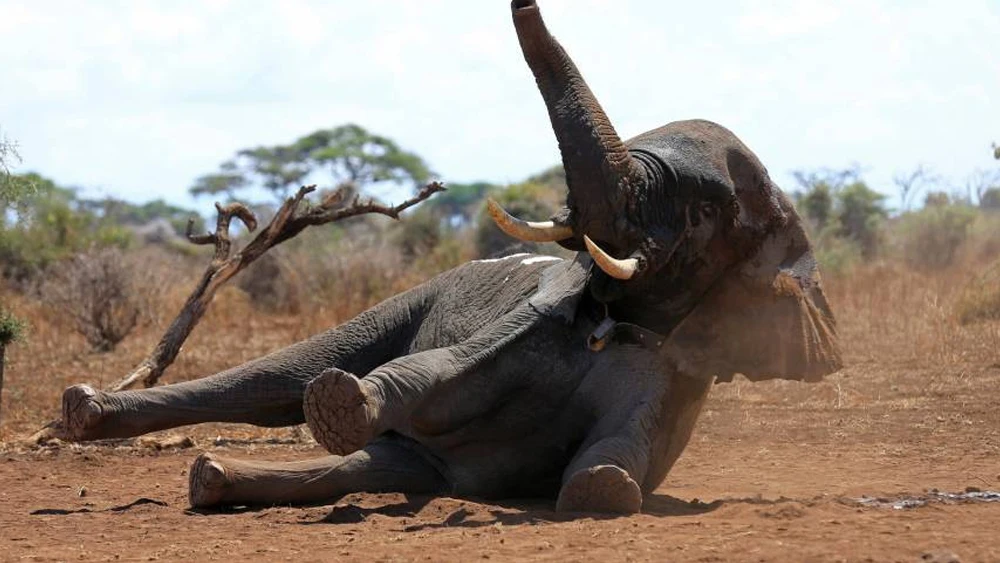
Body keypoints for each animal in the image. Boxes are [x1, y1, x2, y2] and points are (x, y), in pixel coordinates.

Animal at [56, 1, 844, 516]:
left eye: (703, 211)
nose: (521, 1)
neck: (615, 313)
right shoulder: (533, 316)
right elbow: (428, 370)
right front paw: (342, 398)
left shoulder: (672, 367)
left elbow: (611, 471)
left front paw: (597, 483)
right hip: (417, 296)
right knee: (279, 380)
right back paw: (84, 411)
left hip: (419, 464)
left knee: (365, 466)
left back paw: (212, 476)